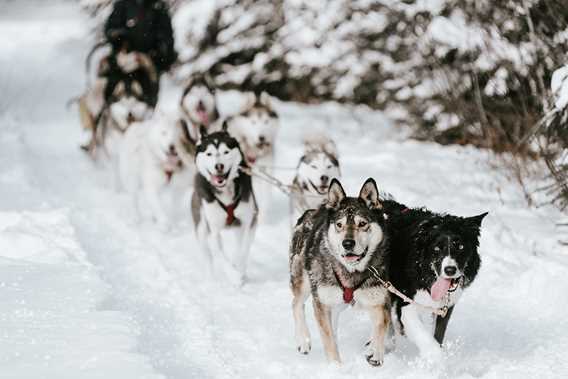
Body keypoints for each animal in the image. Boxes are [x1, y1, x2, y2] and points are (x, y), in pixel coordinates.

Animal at [193, 126, 260, 286]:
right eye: (209, 154)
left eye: (226, 152)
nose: (219, 166)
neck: (225, 191)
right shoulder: (214, 229)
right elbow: (219, 253)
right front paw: (233, 276)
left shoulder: (249, 222)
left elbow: (243, 250)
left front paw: (239, 269)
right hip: (201, 227)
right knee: (208, 256)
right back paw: (211, 279)